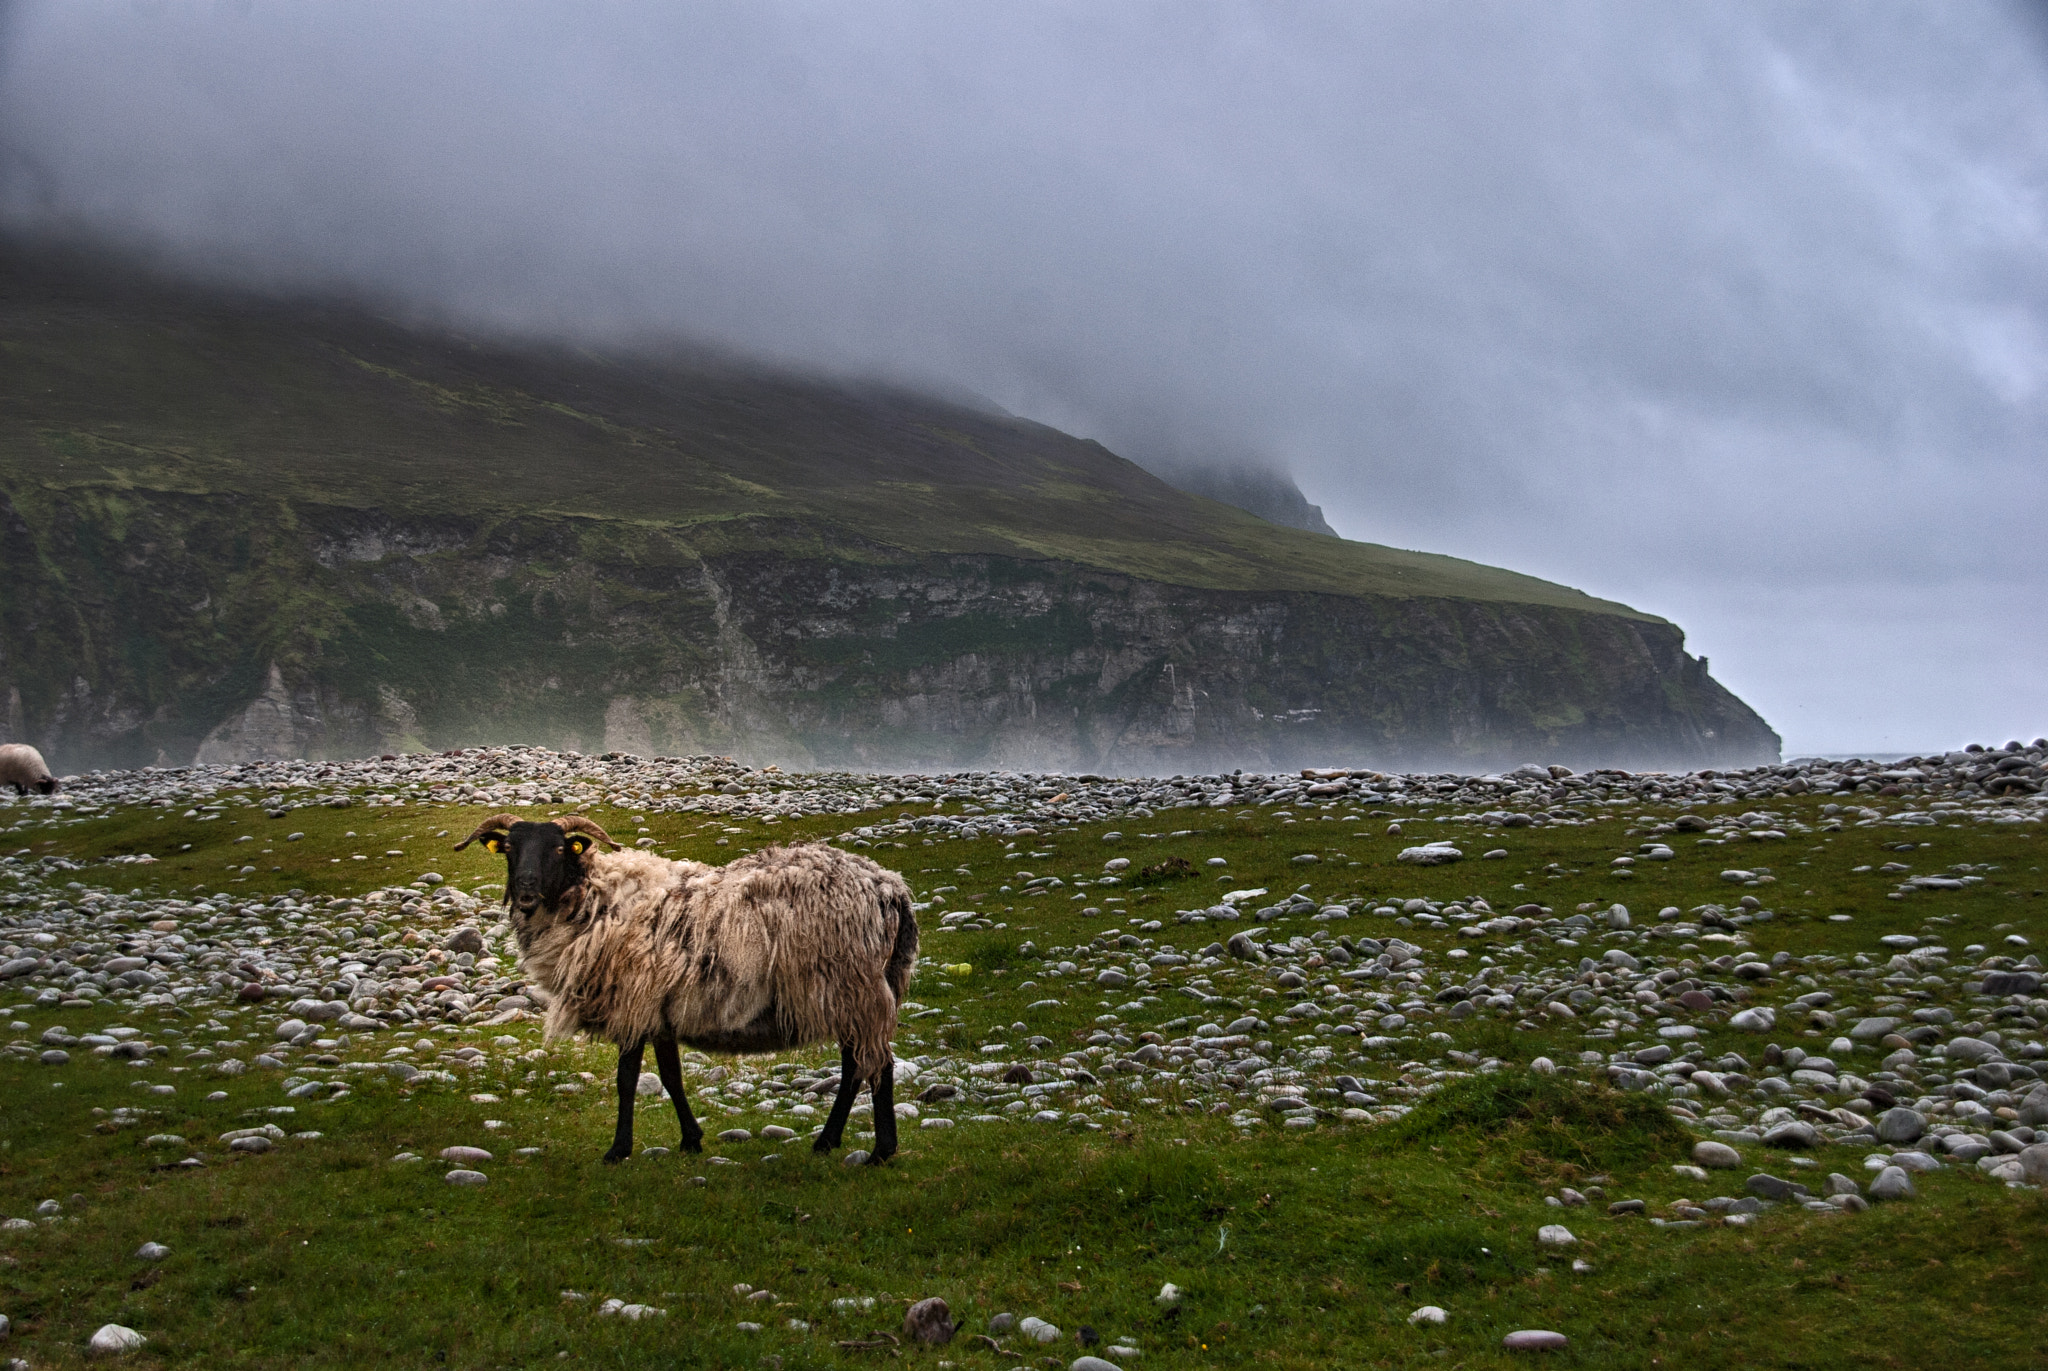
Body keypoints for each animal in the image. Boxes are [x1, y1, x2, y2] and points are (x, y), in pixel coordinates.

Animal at [460, 811, 925, 1164]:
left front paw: (618, 1150)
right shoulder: (659, 1011)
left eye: (558, 848)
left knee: (875, 1065)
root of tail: (891, 888)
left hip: (852, 988)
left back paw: (879, 1152)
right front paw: (691, 1140)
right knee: (856, 1068)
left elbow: (626, 1080)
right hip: (857, 991)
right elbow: (671, 1077)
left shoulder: (633, 1003)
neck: (596, 900)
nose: (525, 891)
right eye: (509, 849)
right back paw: (829, 1142)